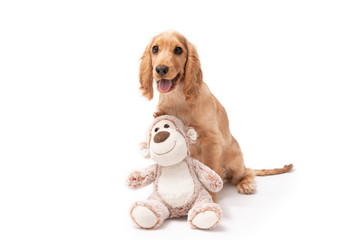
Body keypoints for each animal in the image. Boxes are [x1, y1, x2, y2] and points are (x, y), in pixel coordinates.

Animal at [138, 30, 292, 202]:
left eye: (178, 50)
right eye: (155, 49)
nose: (161, 69)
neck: (178, 98)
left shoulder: (211, 139)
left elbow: (210, 168)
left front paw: (209, 198)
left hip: (235, 160)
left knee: (245, 173)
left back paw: (246, 184)